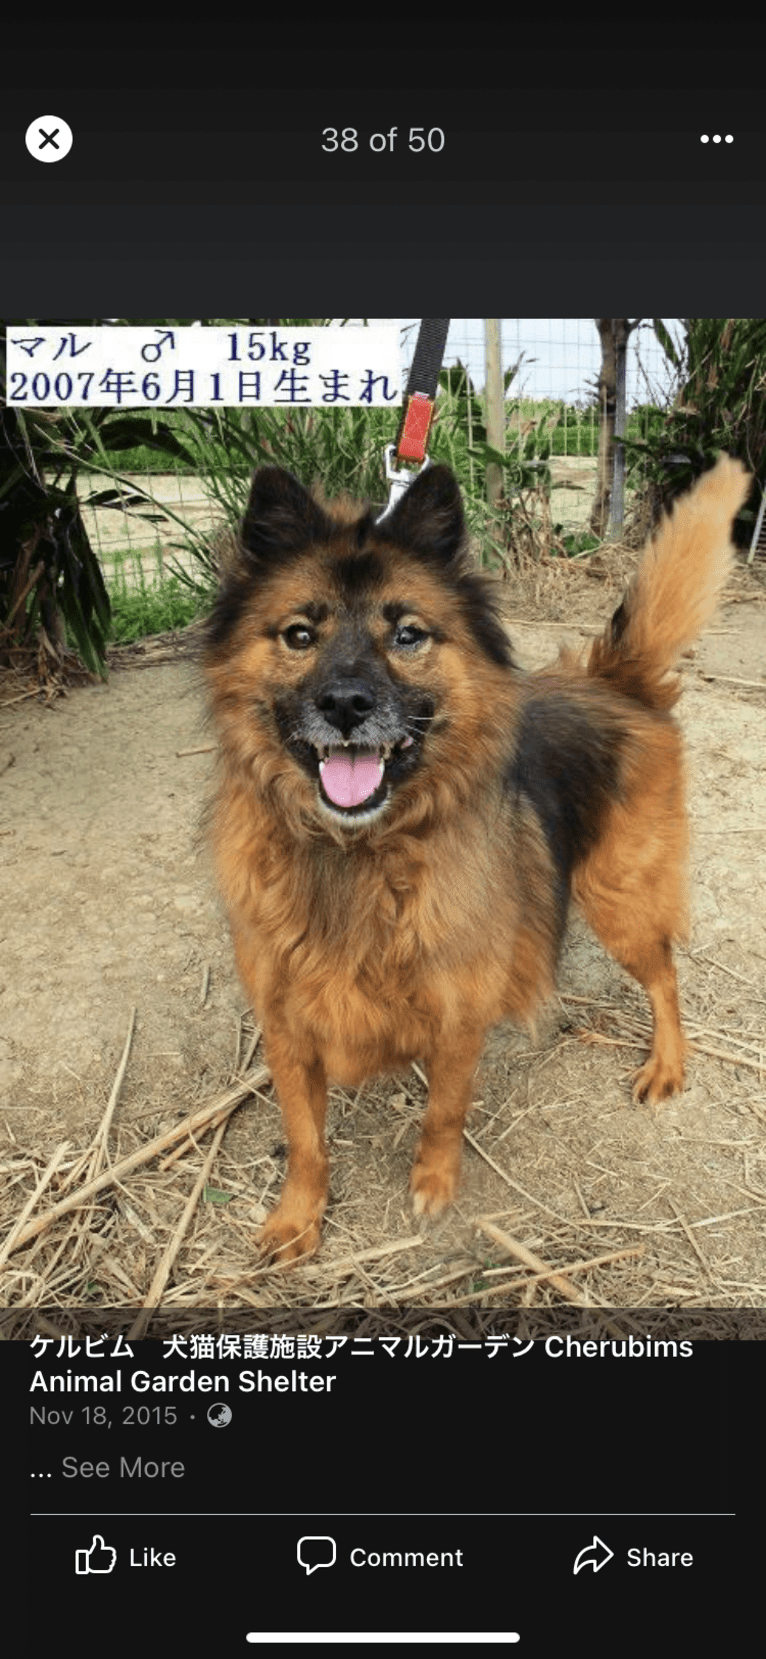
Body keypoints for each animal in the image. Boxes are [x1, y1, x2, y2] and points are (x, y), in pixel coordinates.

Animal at [202, 451, 749, 1254]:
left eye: (408, 635)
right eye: (300, 635)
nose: (345, 704)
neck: (361, 854)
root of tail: (615, 678)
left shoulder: (460, 1016)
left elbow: (444, 1111)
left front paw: (433, 1184)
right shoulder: (286, 1023)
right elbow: (304, 1136)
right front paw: (299, 1216)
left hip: (618, 894)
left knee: (665, 975)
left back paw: (667, 1061)